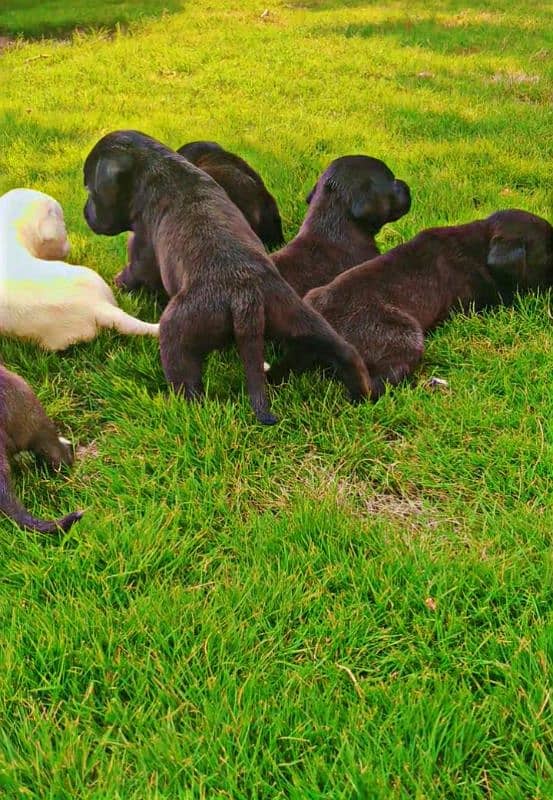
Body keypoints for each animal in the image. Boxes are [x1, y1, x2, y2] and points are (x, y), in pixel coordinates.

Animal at [83, 130, 370, 424]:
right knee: (343, 351)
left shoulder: (141, 252)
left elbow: (131, 274)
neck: (157, 164)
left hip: (177, 330)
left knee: (187, 385)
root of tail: (245, 296)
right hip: (300, 318)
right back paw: (361, 394)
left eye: (90, 190)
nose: (85, 212)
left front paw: (115, 283)